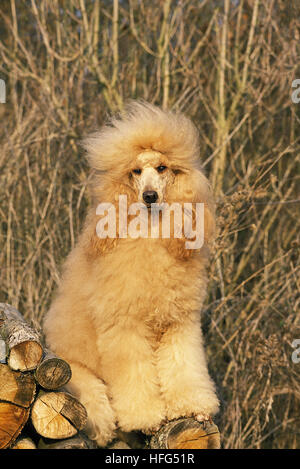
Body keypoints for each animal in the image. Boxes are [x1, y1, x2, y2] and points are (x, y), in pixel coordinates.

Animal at [43, 100, 219, 444]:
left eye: (162, 168)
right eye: (135, 172)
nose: (149, 197)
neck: (150, 237)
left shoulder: (178, 324)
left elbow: (184, 366)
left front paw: (193, 407)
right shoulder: (125, 328)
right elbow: (135, 377)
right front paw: (148, 418)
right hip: (79, 380)